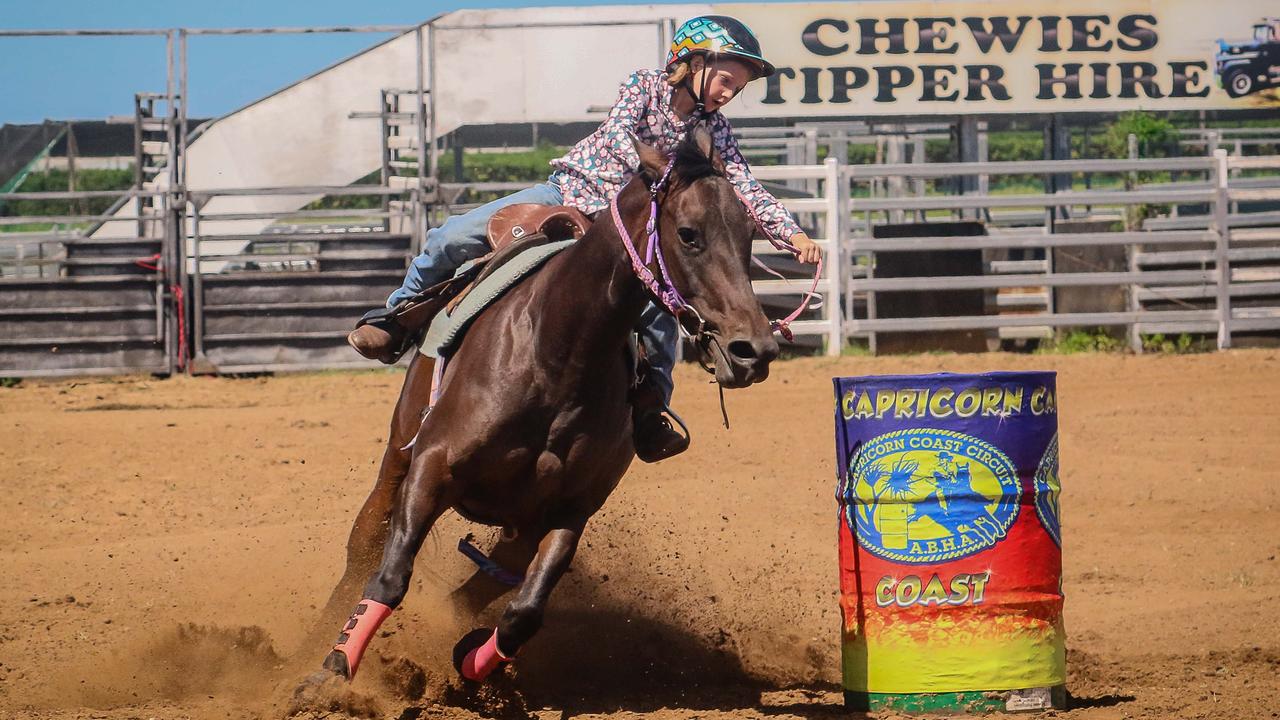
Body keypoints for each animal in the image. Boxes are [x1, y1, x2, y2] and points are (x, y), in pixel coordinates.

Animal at [308, 126, 778, 681]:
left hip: (516, 529)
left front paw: (470, 660)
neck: (556, 352)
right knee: (364, 545)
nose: (754, 351)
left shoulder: (570, 508)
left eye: (749, 237)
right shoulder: (432, 465)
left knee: (479, 589)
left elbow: (523, 613)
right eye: (688, 234)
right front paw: (331, 669)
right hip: (399, 451)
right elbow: (389, 576)